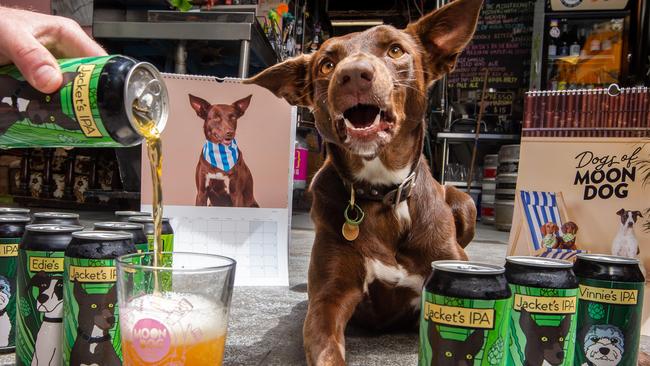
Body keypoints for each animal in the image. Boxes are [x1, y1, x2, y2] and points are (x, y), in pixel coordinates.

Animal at [246, 0, 478, 364]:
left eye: (395, 50)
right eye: (327, 64)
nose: (353, 74)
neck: (383, 192)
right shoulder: (329, 297)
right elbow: (326, 345)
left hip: (463, 202)